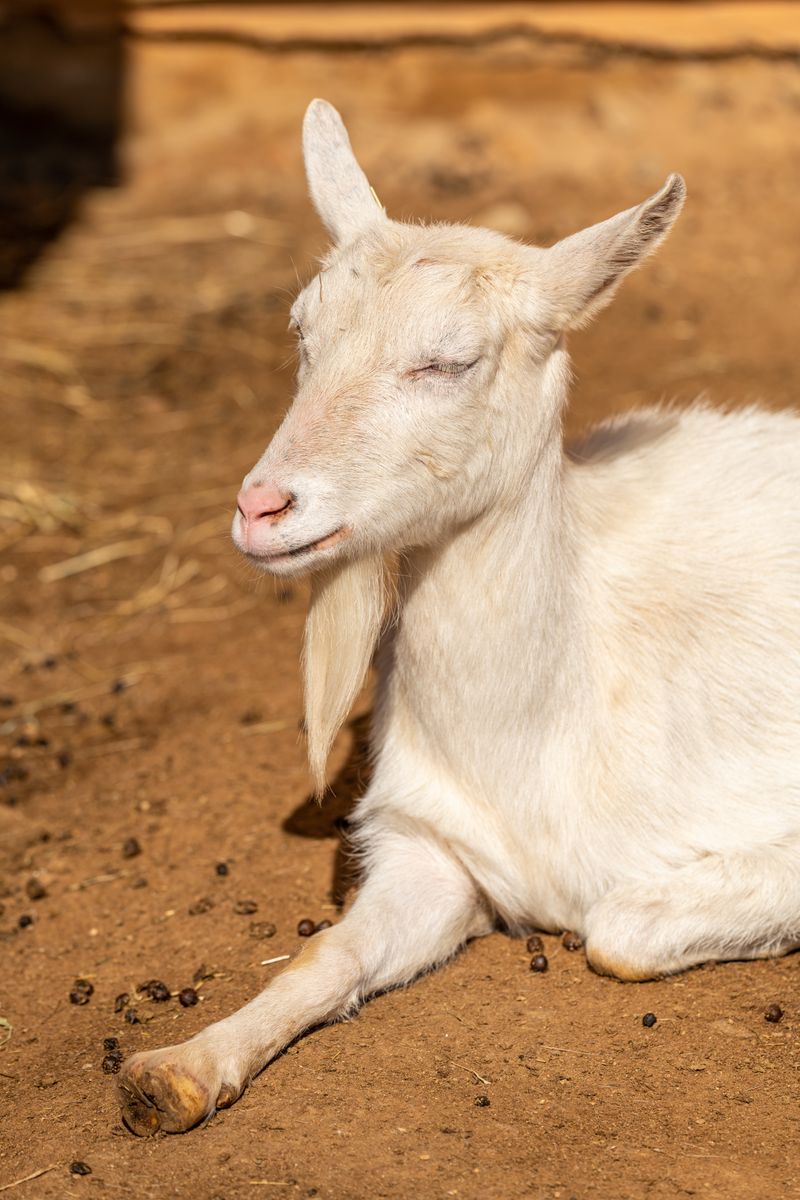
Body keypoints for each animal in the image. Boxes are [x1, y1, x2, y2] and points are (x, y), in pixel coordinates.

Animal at [118, 99, 800, 1136]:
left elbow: (621, 927)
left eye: (449, 361)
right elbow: (326, 952)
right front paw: (175, 1072)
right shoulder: (430, 849)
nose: (262, 508)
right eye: (303, 334)